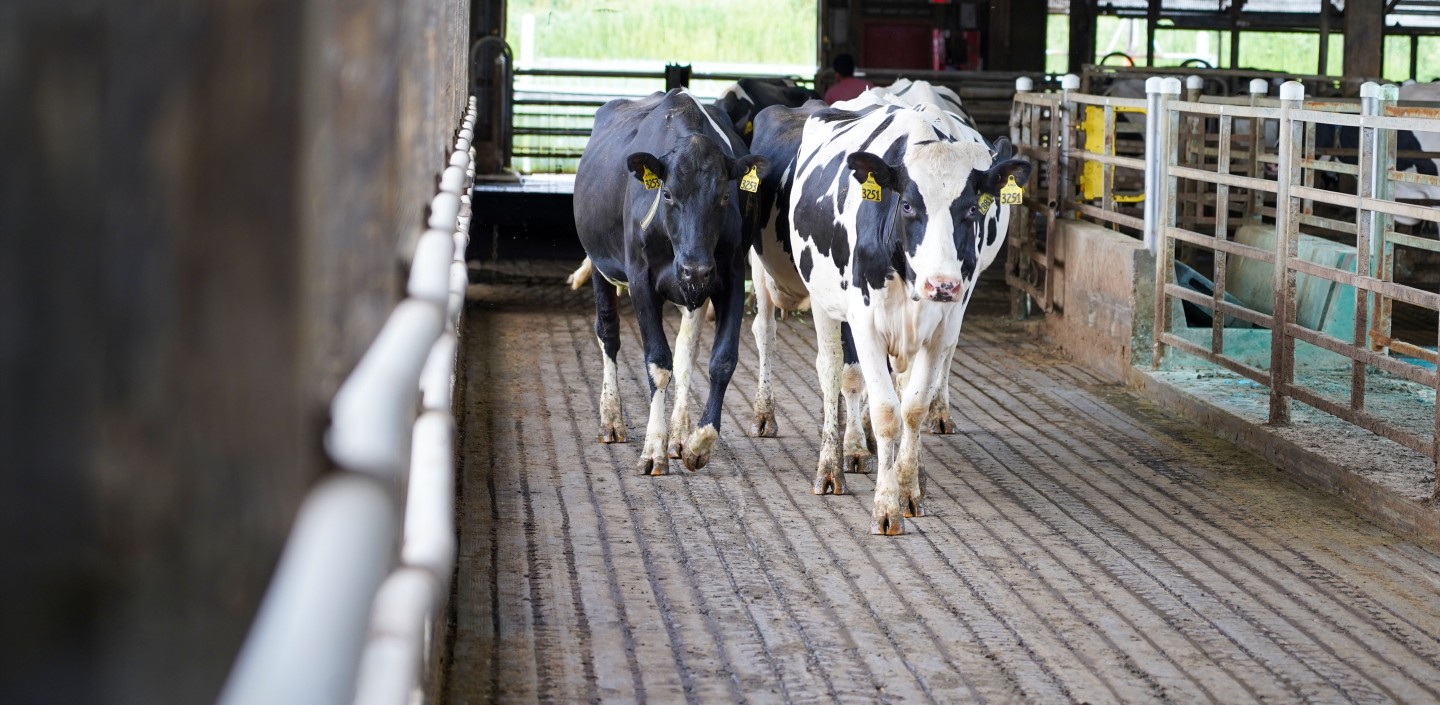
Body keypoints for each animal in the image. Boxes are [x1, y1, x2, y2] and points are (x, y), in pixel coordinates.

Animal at [574, 88, 768, 475]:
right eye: (666, 194)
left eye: (725, 196)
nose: (695, 269)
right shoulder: (640, 280)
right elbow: (657, 362)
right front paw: (653, 449)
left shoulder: (730, 276)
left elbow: (720, 361)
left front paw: (697, 443)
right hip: (601, 265)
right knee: (608, 334)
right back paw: (612, 419)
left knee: (686, 353)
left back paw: (679, 434)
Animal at [783, 90, 1031, 535]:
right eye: (909, 206)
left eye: (972, 209)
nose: (942, 284)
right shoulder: (865, 325)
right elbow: (885, 412)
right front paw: (885, 507)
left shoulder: (940, 328)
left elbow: (913, 407)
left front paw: (908, 487)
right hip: (824, 302)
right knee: (831, 373)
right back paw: (831, 468)